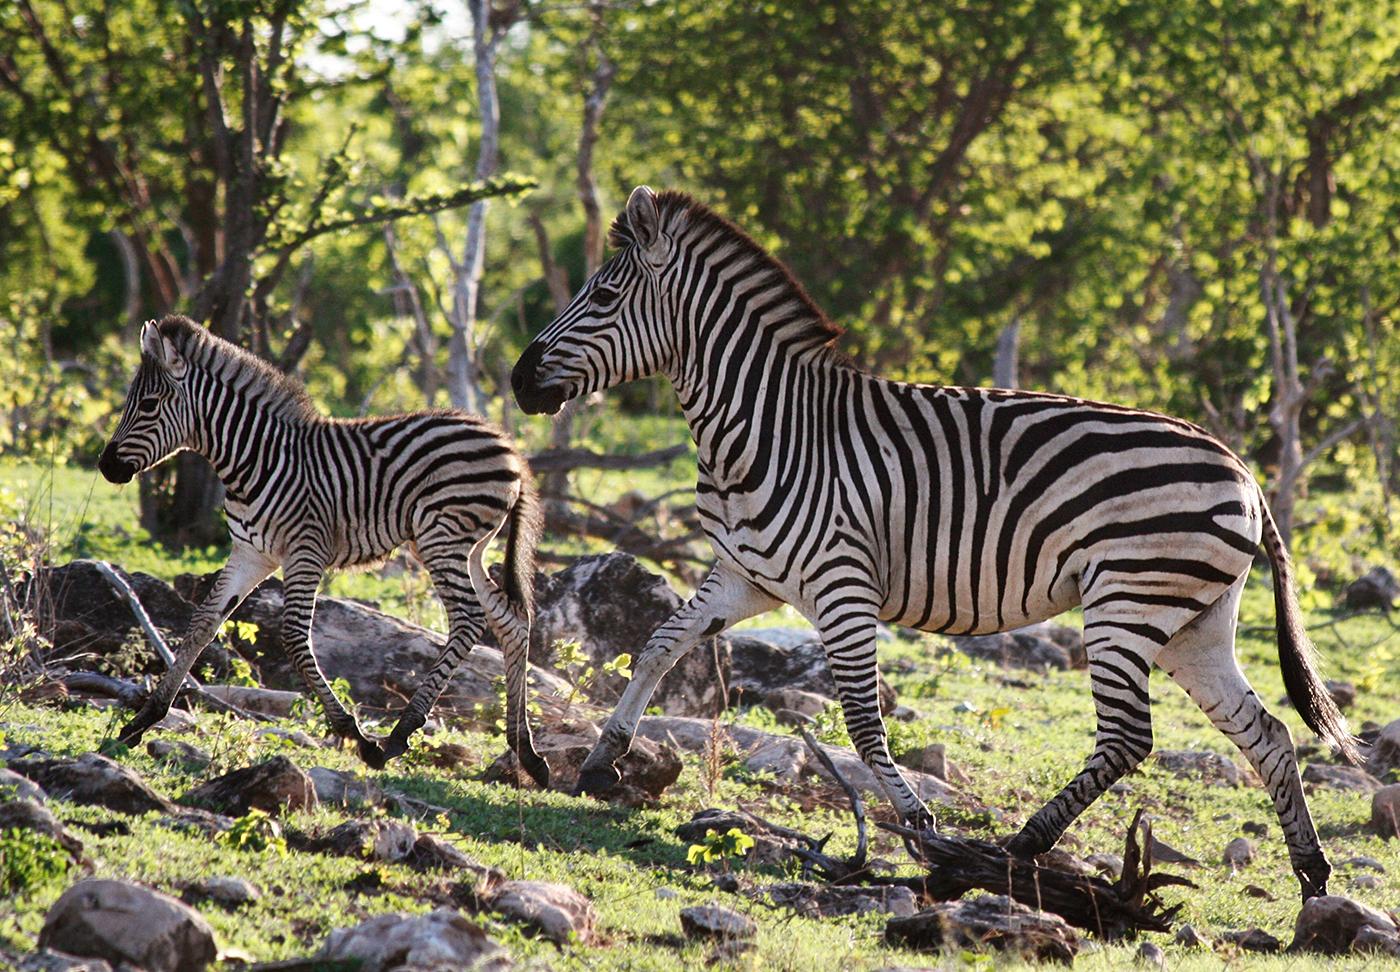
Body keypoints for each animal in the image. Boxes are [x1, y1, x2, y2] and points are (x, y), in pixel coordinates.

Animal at [98, 314, 548, 784]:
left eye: (149, 405)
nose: (105, 467)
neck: (254, 460)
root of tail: (508, 446)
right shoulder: (250, 553)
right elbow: (203, 623)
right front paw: (142, 720)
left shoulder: (306, 550)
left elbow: (295, 637)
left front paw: (355, 735)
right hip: (469, 548)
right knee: (511, 621)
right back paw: (527, 752)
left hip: (441, 537)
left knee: (468, 620)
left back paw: (399, 734)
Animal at [511, 186, 1363, 900]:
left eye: (604, 295)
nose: (519, 382)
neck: (767, 427)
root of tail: (1244, 470)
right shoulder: (744, 575)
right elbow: (658, 644)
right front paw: (602, 760)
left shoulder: (841, 583)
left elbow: (860, 718)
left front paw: (919, 825)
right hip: (1194, 620)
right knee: (1267, 733)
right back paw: (1312, 875)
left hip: (1128, 601)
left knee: (1128, 737)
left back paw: (1020, 847)